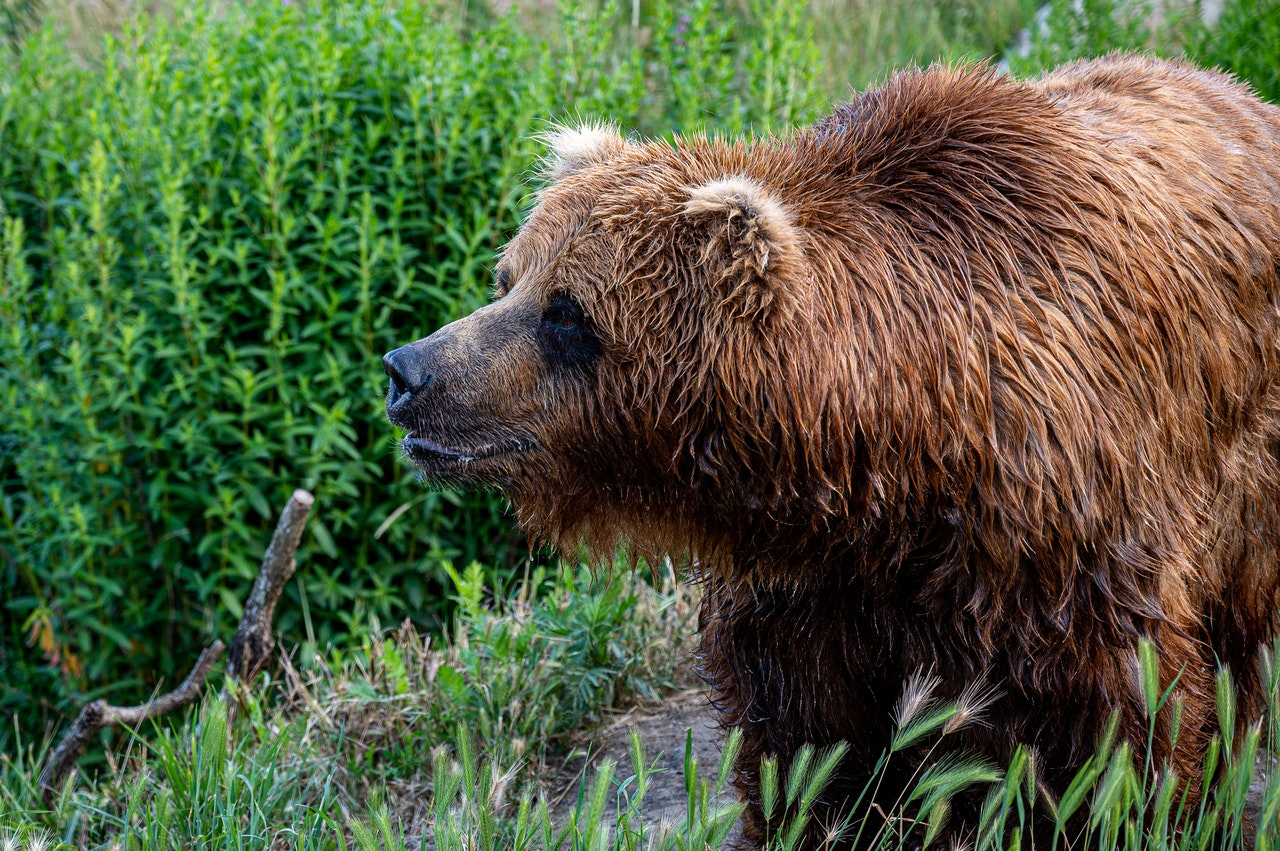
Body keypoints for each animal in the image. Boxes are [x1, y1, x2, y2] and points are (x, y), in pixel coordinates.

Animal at [384, 56, 1280, 844]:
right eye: (509, 279)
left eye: (568, 312)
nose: (408, 369)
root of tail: (1240, 92)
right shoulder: (811, 590)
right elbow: (808, 748)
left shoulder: (1058, 542)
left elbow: (1124, 727)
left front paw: (1148, 813)